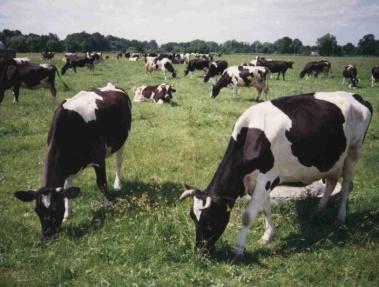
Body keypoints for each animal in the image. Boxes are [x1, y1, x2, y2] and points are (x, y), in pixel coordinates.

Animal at [14, 83, 133, 241]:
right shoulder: (67, 165)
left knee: (118, 164)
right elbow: (67, 187)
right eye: (37, 210)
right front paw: (68, 213)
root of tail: (111, 85)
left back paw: (117, 185)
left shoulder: (98, 158)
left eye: (56, 209)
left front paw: (108, 205)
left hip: (121, 142)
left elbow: (101, 183)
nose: (47, 236)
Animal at [180, 91, 372, 254]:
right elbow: (266, 208)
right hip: (333, 160)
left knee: (346, 185)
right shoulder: (256, 182)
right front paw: (268, 235)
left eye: (211, 221)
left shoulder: (266, 178)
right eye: (193, 217)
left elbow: (248, 215)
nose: (200, 251)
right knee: (331, 183)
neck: (250, 136)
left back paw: (340, 218)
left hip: (353, 152)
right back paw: (317, 212)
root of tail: (357, 96)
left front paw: (238, 248)